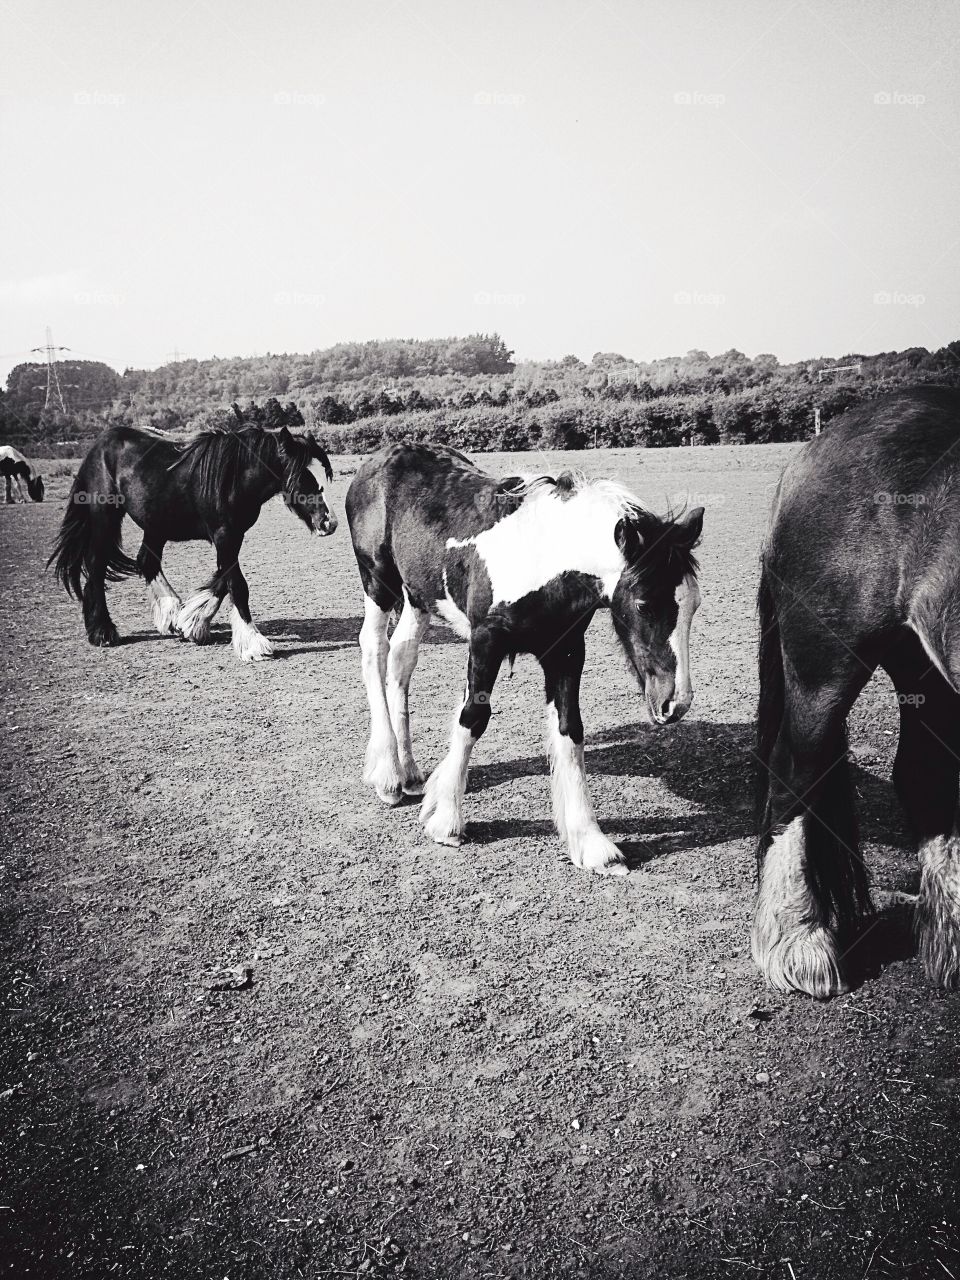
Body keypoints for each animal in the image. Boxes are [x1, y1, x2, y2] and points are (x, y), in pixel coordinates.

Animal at [48, 414, 335, 660]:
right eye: (299, 475)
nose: (328, 522)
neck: (231, 477)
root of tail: (99, 444)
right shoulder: (224, 536)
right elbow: (237, 584)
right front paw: (253, 644)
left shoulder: (233, 537)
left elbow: (223, 580)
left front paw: (192, 622)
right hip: (105, 518)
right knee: (96, 566)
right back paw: (103, 631)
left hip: (155, 524)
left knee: (146, 562)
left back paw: (170, 616)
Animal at [346, 443, 703, 875]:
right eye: (644, 604)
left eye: (693, 606)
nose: (675, 703)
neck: (543, 558)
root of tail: (383, 456)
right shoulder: (486, 641)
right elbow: (472, 717)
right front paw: (447, 820)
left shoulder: (566, 652)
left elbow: (570, 730)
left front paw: (591, 843)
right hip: (378, 582)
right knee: (374, 650)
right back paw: (388, 773)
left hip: (418, 596)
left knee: (402, 657)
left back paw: (410, 771)